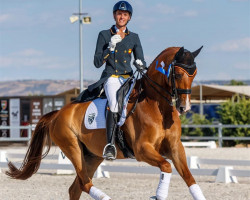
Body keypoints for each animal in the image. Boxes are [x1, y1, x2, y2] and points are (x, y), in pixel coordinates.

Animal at [6, 46, 205, 199]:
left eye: (194, 74)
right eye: (177, 74)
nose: (185, 107)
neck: (156, 106)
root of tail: (57, 114)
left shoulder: (175, 147)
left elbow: (190, 179)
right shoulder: (142, 149)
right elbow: (166, 166)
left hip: (92, 156)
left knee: (76, 188)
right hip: (73, 148)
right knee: (85, 184)